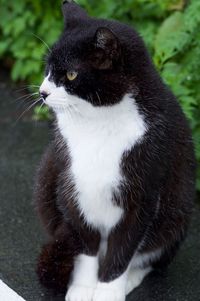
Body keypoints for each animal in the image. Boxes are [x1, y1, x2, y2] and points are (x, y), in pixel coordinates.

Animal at [34, 0, 195, 300]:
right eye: (48, 69)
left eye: (71, 74)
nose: (42, 92)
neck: (97, 123)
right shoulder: (72, 185)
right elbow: (85, 245)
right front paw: (82, 288)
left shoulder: (143, 194)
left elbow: (123, 249)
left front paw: (108, 291)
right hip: (47, 174)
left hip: (177, 212)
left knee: (151, 256)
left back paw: (132, 278)